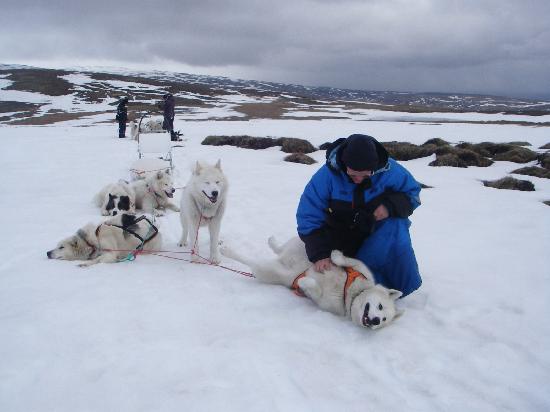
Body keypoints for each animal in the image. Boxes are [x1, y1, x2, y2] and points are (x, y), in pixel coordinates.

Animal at [220, 237, 406, 330]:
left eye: (383, 320)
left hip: (267, 270)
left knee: (252, 261)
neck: (351, 293)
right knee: (282, 247)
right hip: (301, 246)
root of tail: (286, 261)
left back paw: (228, 251)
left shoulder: (323, 301)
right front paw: (335, 254)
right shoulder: (360, 267)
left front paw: (304, 280)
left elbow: (313, 287)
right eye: (380, 307)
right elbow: (344, 260)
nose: (375, 320)